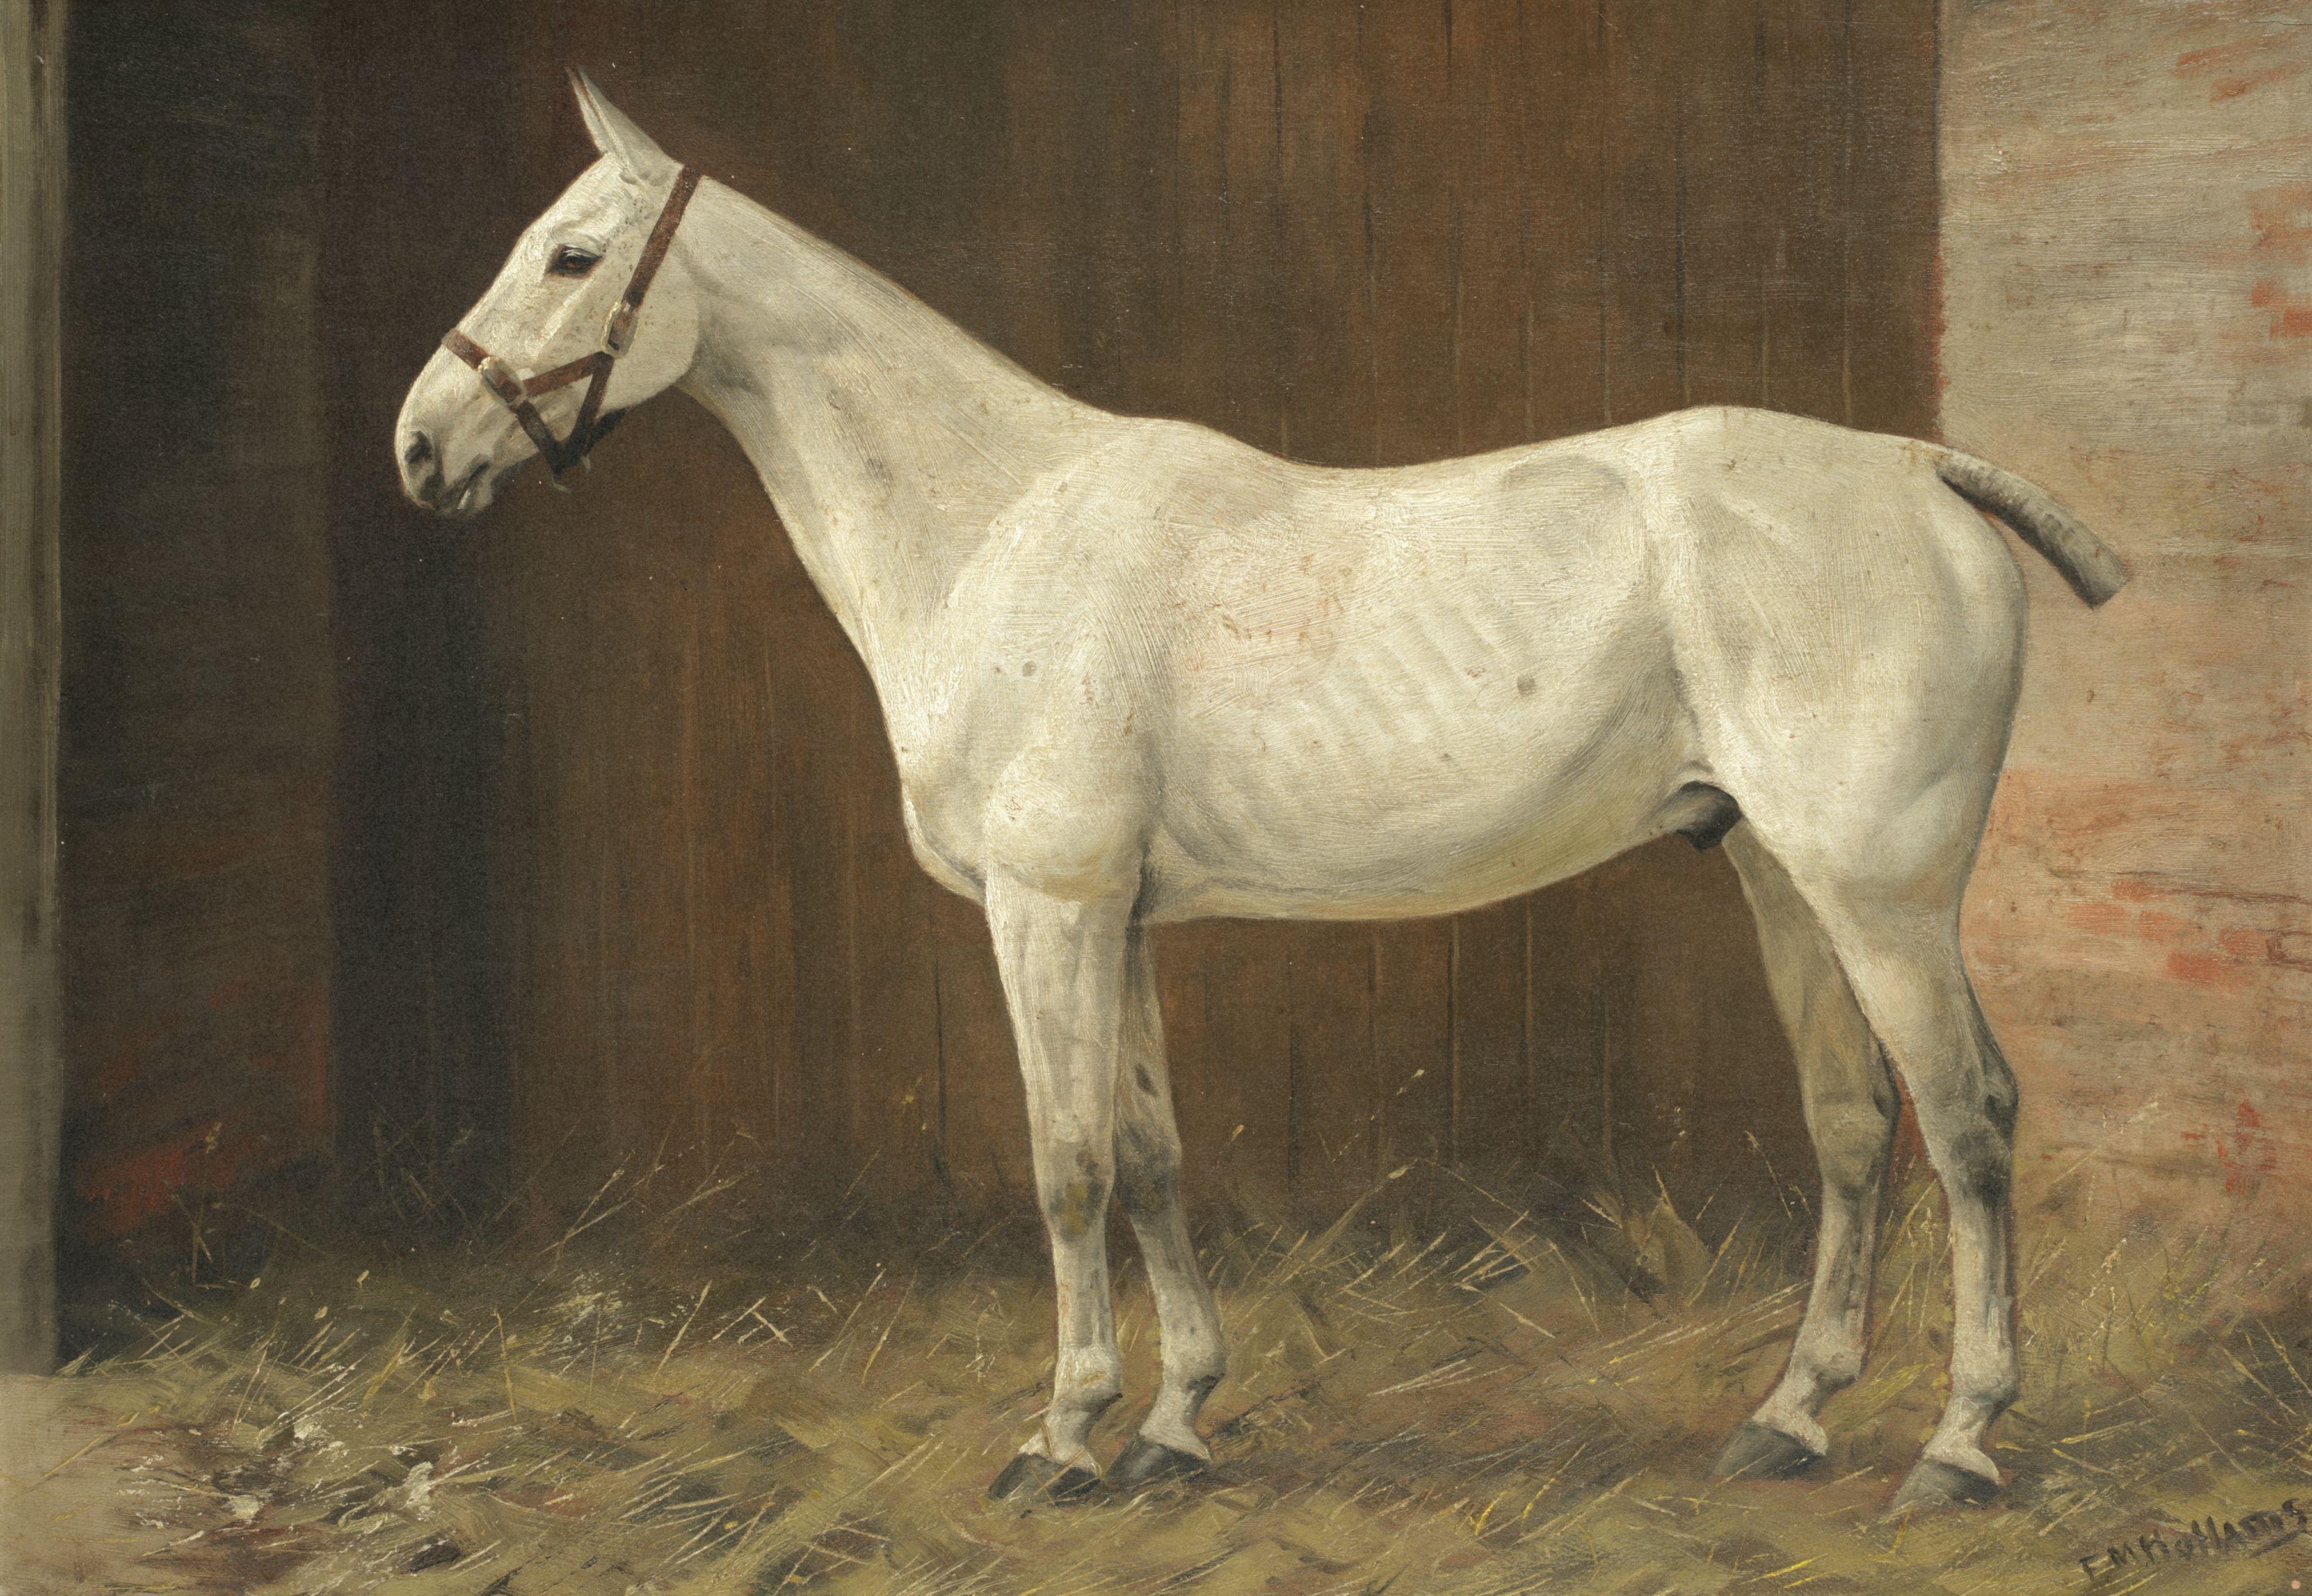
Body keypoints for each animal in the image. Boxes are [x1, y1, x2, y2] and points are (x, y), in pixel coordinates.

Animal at [396, 73, 2127, 1512]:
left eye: (568, 255)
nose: (421, 446)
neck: (996, 525)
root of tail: (1921, 467)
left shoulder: (1049, 908)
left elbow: (1066, 1163)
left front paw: (1062, 1436)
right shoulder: (1120, 918)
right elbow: (1153, 1154)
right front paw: (1173, 1425)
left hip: (1885, 895)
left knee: (1968, 1120)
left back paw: (1961, 1445)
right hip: (1779, 874)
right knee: (1852, 1125)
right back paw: (1790, 1418)